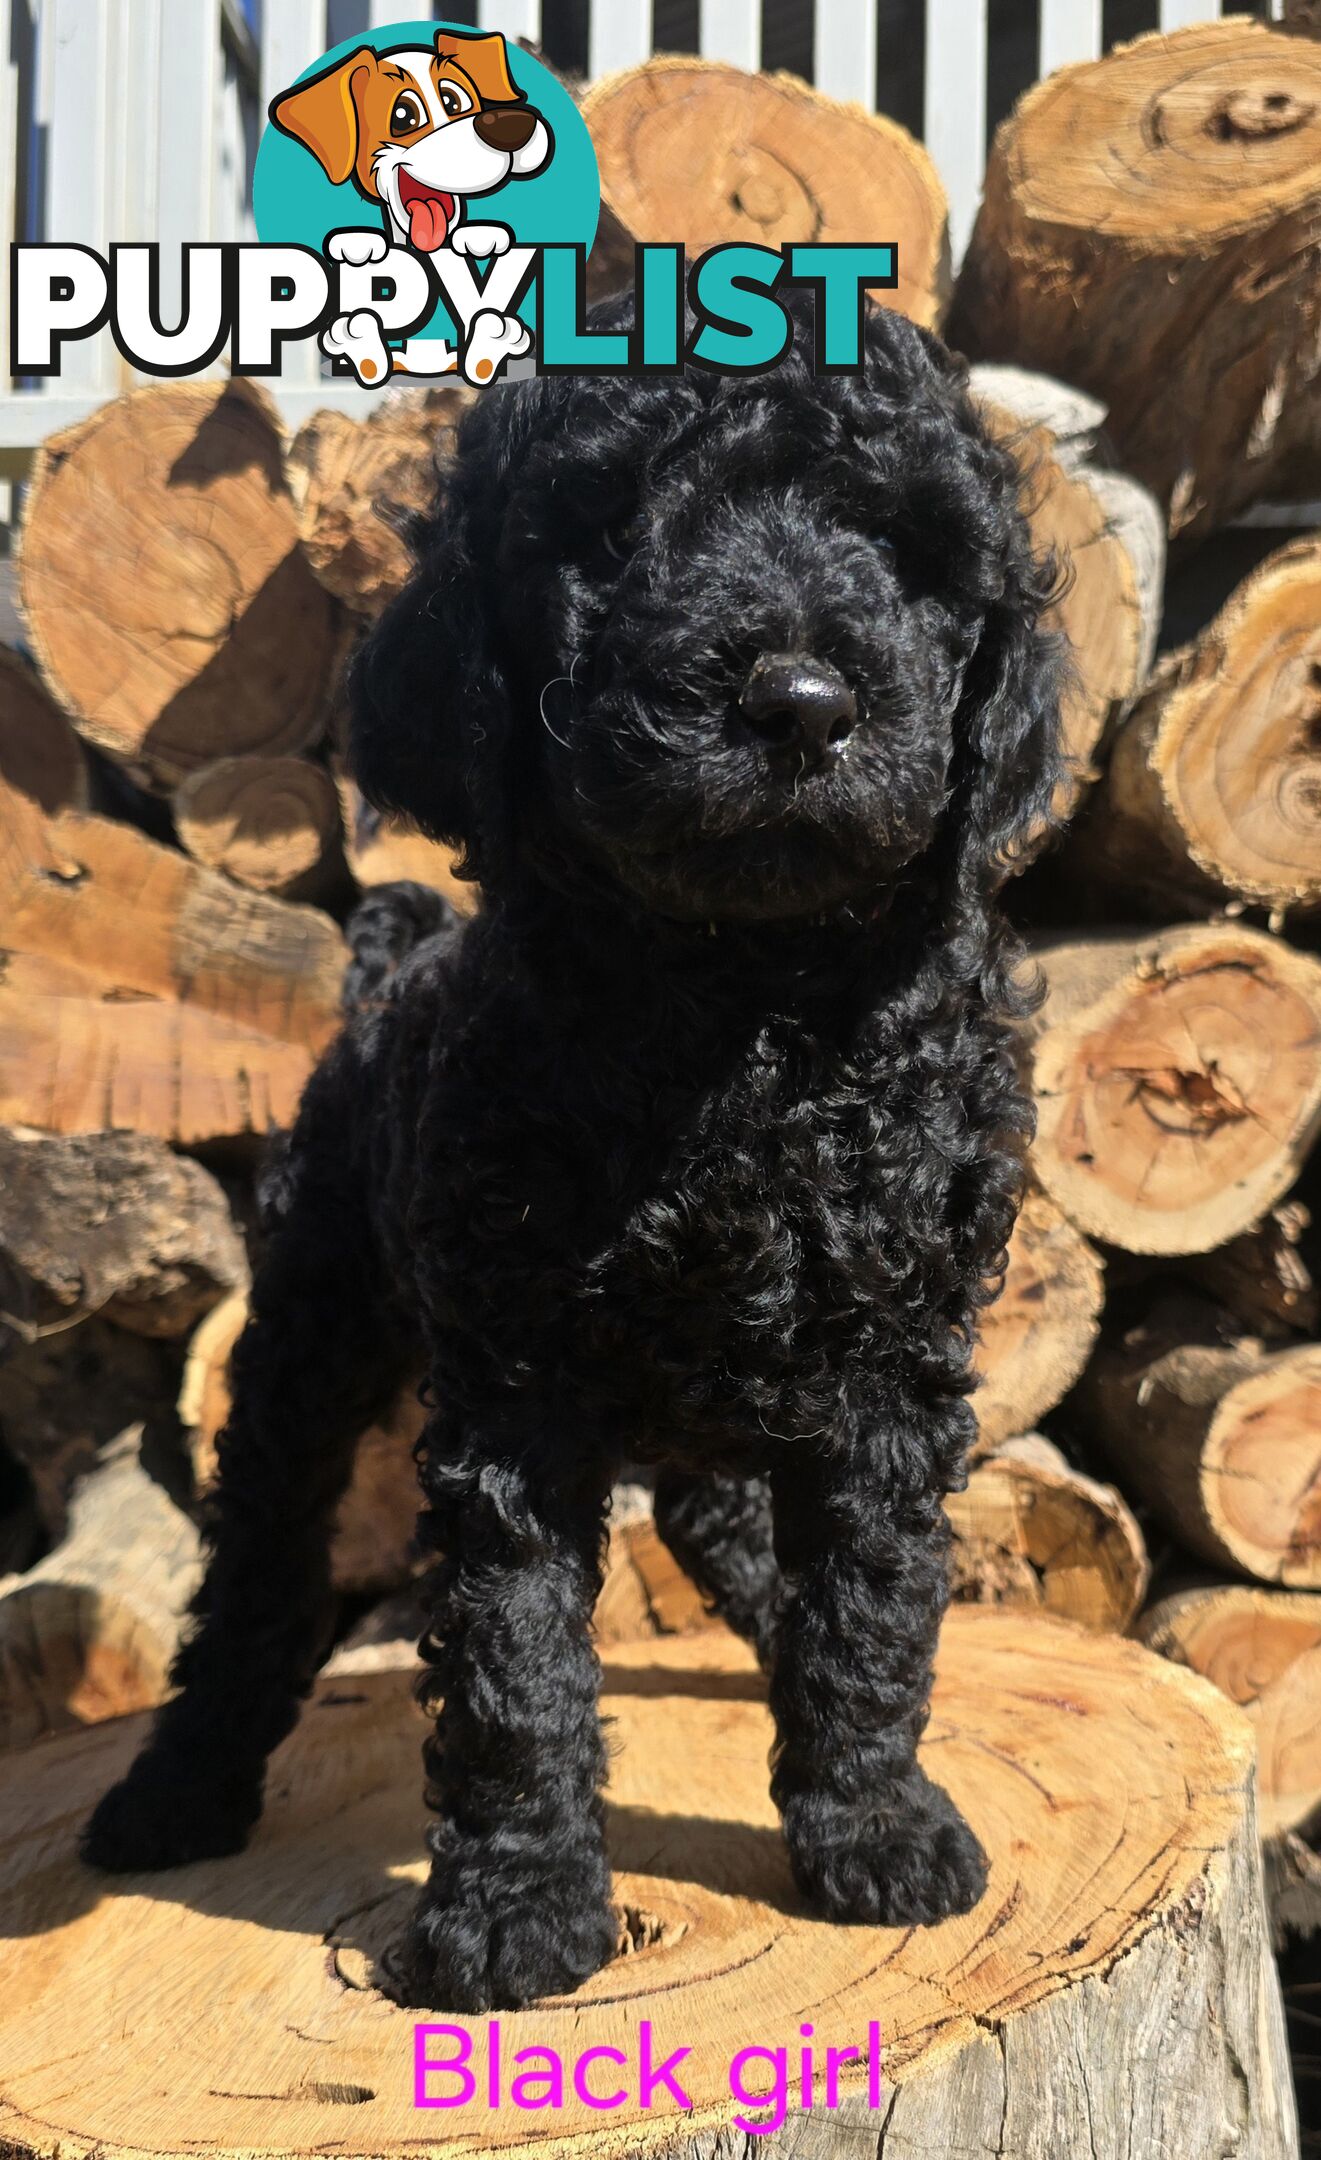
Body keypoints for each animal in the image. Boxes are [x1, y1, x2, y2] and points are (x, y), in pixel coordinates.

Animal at [85, 295, 1061, 2013]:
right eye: (607, 530)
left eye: (904, 547)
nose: (799, 703)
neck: (739, 1006)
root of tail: (384, 960)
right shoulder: (513, 1381)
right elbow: (512, 1657)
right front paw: (516, 1907)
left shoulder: (885, 1354)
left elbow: (873, 1603)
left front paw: (875, 1827)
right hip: (312, 1322)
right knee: (261, 1565)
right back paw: (178, 1788)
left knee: (715, 1513)